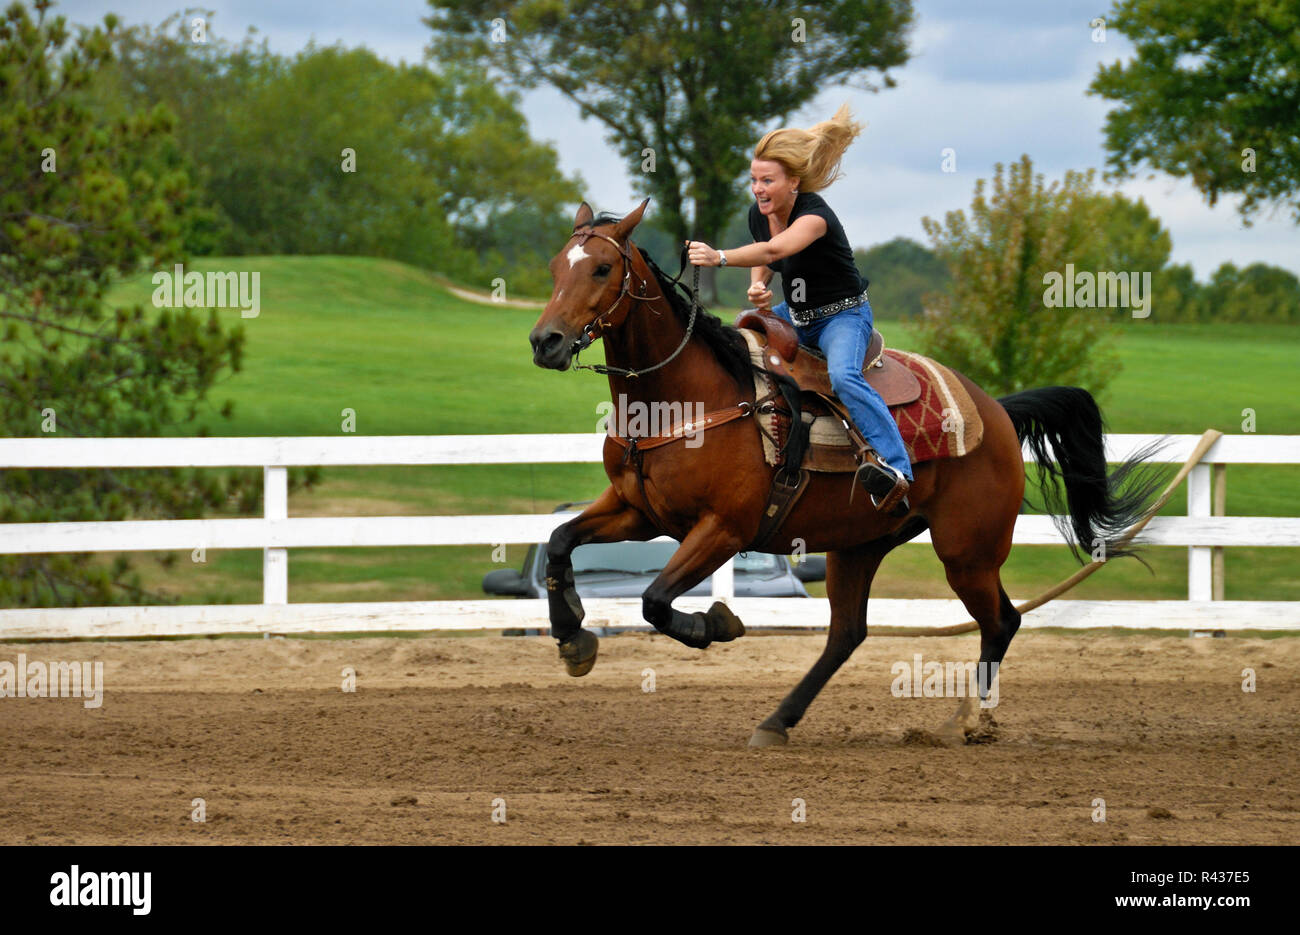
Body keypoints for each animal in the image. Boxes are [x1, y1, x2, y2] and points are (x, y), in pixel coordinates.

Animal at [527, 201, 1159, 749]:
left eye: (603, 267)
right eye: (556, 266)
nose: (544, 341)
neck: (686, 399)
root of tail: (998, 411)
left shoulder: (724, 528)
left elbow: (654, 600)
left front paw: (719, 624)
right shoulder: (640, 511)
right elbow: (560, 542)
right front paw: (573, 638)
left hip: (967, 551)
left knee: (1001, 621)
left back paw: (962, 723)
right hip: (859, 545)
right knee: (847, 634)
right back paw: (778, 721)